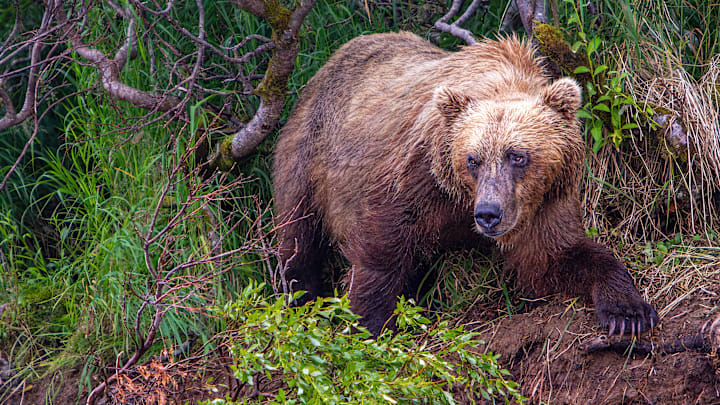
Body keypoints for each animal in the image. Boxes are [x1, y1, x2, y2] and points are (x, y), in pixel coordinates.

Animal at [272, 31, 658, 336]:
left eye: (517, 156)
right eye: (473, 159)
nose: (488, 214)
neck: (460, 200)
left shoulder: (541, 201)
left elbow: (554, 257)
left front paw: (628, 312)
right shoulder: (416, 178)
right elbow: (380, 253)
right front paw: (370, 324)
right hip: (308, 153)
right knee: (299, 235)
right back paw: (301, 296)